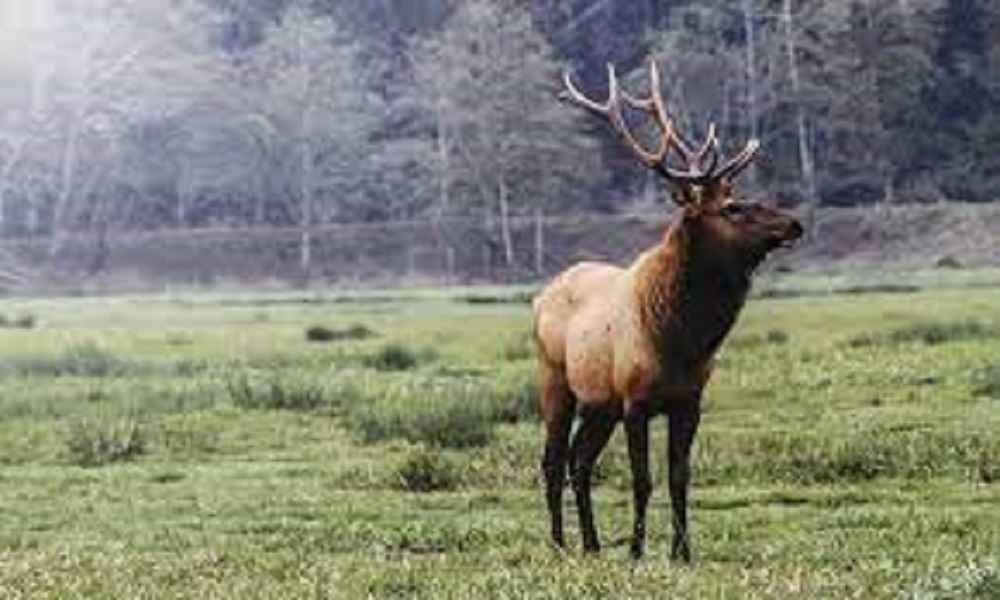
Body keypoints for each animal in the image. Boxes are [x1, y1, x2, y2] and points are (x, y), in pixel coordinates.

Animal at [533, 59, 803, 561]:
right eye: (733, 207)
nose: (795, 223)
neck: (680, 340)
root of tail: (541, 296)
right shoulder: (635, 401)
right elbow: (643, 479)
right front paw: (638, 550)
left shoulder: (688, 401)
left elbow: (680, 478)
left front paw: (682, 551)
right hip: (556, 379)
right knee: (553, 460)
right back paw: (560, 544)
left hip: (600, 404)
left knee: (581, 461)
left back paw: (592, 544)